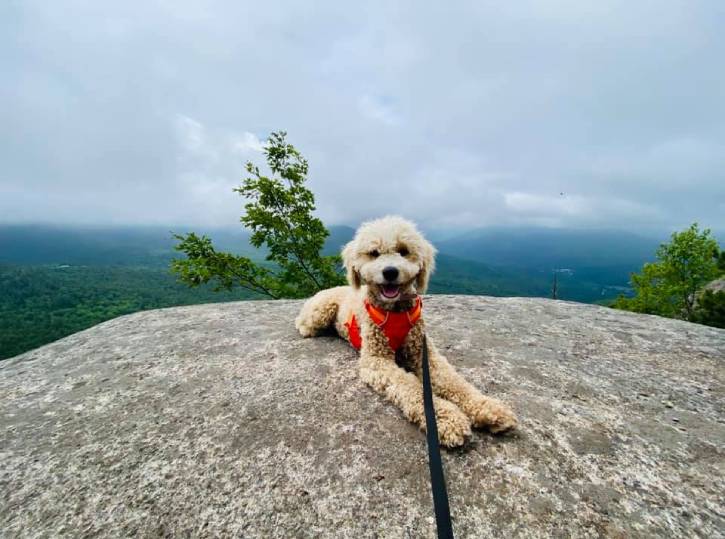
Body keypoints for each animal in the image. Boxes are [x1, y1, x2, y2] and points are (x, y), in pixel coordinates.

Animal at [292, 215, 516, 448]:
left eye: (403, 250)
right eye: (374, 253)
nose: (390, 272)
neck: (396, 311)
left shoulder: (424, 353)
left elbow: (453, 381)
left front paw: (488, 407)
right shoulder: (377, 360)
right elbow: (410, 386)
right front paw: (447, 419)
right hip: (319, 312)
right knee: (303, 322)